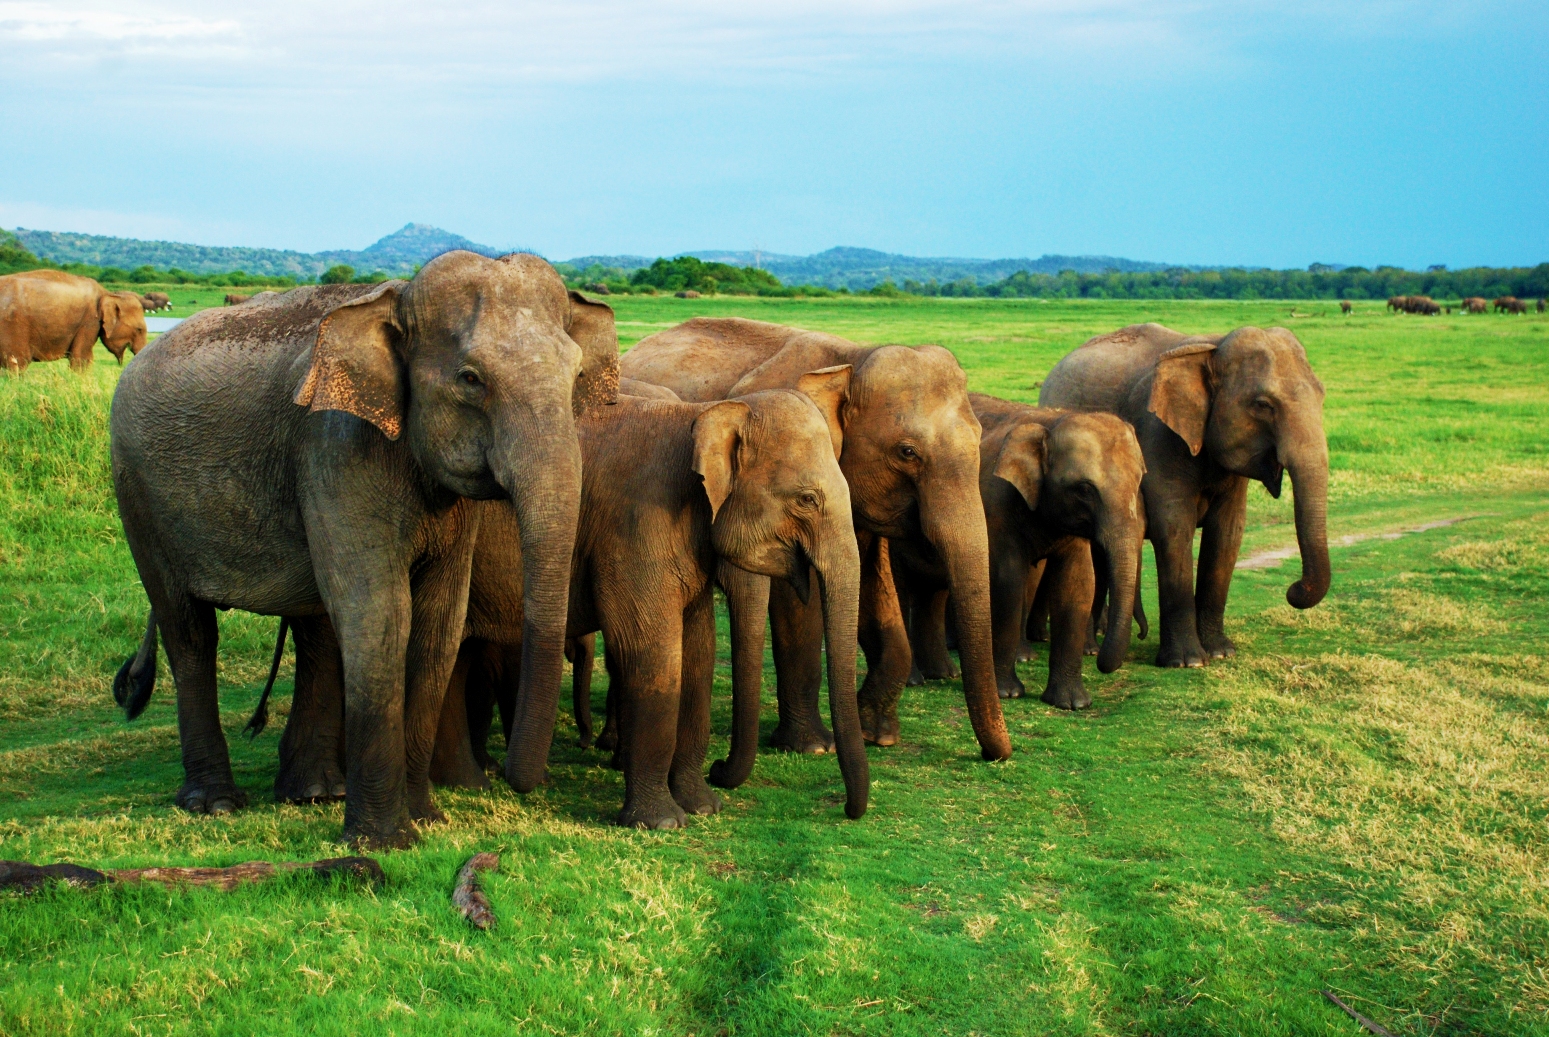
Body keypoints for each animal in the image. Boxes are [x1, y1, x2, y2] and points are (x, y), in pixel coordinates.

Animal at [0, 269, 146, 373]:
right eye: (139, 329)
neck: (109, 294)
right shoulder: (90, 321)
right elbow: (81, 358)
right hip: (12, 327)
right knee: (17, 363)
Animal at [107, 252, 622, 849]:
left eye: (577, 376)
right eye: (470, 379)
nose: (514, 781)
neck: (395, 298)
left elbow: (438, 624)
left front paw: (426, 820)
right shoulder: (336, 446)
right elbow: (380, 614)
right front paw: (383, 842)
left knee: (314, 627)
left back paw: (312, 793)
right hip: (137, 495)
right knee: (189, 630)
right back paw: (215, 804)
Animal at [619, 316, 1016, 759]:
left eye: (979, 438)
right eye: (907, 452)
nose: (995, 755)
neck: (853, 358)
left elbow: (872, 585)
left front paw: (876, 734)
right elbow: (798, 602)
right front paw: (814, 747)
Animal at [892, 392, 1146, 706]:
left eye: (1138, 482)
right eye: (1085, 489)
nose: (1099, 661)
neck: (1052, 421)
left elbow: (1076, 584)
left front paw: (1072, 703)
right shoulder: (996, 505)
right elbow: (1007, 583)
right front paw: (1008, 693)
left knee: (933, 593)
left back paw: (942, 674)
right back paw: (915, 680)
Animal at [1034, 319, 1325, 666]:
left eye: (1322, 396)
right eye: (1263, 405)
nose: (1293, 590)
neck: (1213, 346)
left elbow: (1228, 533)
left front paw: (1220, 652)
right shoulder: (1158, 435)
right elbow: (1174, 528)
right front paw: (1188, 662)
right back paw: (1089, 646)